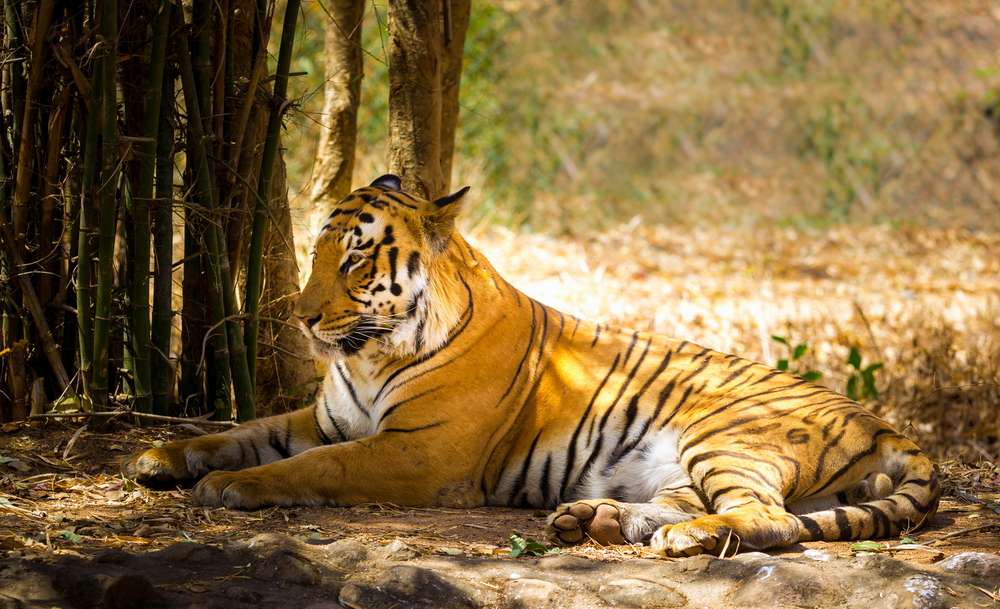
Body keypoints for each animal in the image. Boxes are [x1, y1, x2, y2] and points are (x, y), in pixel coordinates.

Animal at [124, 174, 940, 557]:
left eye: (353, 259)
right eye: (318, 250)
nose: (300, 315)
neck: (369, 353)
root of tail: (887, 424)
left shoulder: (418, 451)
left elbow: (310, 466)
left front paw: (228, 488)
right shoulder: (324, 417)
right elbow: (242, 430)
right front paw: (158, 456)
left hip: (725, 436)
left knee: (771, 518)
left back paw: (671, 538)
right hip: (685, 463)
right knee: (705, 504)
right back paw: (595, 518)